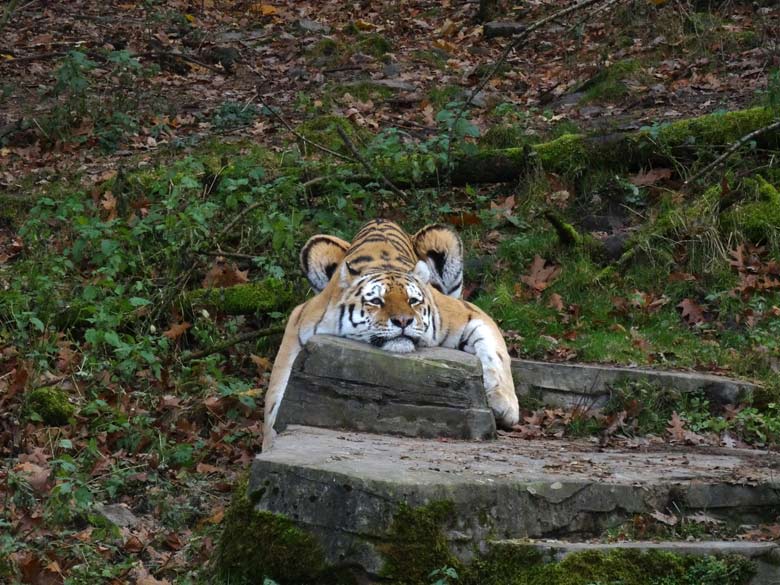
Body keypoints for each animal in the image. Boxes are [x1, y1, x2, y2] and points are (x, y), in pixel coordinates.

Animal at [262, 217, 516, 450]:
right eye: (376, 301)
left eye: (413, 301)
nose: (403, 321)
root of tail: (381, 218)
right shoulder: (299, 321)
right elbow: (277, 388)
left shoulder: (468, 312)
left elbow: (495, 353)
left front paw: (505, 407)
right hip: (316, 245)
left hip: (444, 238)